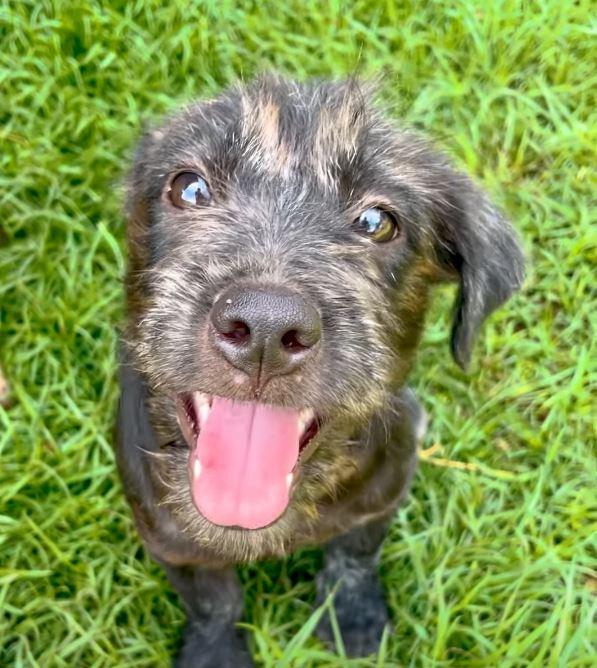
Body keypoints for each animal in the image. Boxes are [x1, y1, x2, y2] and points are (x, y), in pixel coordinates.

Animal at [115, 74, 520, 668]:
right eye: (189, 188)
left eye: (377, 222)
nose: (265, 326)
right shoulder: (166, 536)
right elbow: (213, 599)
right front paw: (215, 650)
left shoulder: (384, 491)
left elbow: (355, 552)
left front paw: (353, 616)